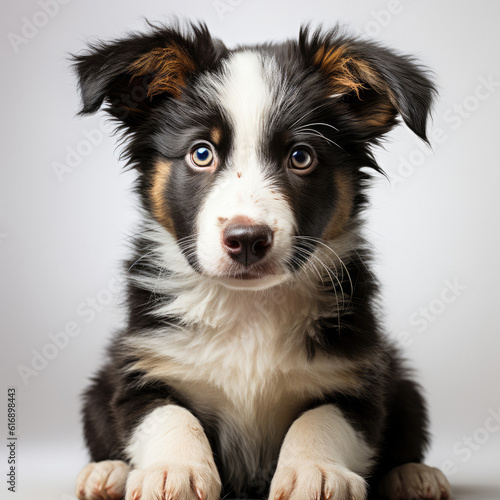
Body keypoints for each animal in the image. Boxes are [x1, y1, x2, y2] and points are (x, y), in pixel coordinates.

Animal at [72, 21, 452, 498]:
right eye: (201, 153)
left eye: (301, 157)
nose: (247, 239)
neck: (248, 306)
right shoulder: (142, 363)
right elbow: (168, 415)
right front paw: (174, 470)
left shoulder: (359, 373)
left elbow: (322, 418)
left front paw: (315, 470)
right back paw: (105, 472)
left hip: (403, 380)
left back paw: (413, 474)